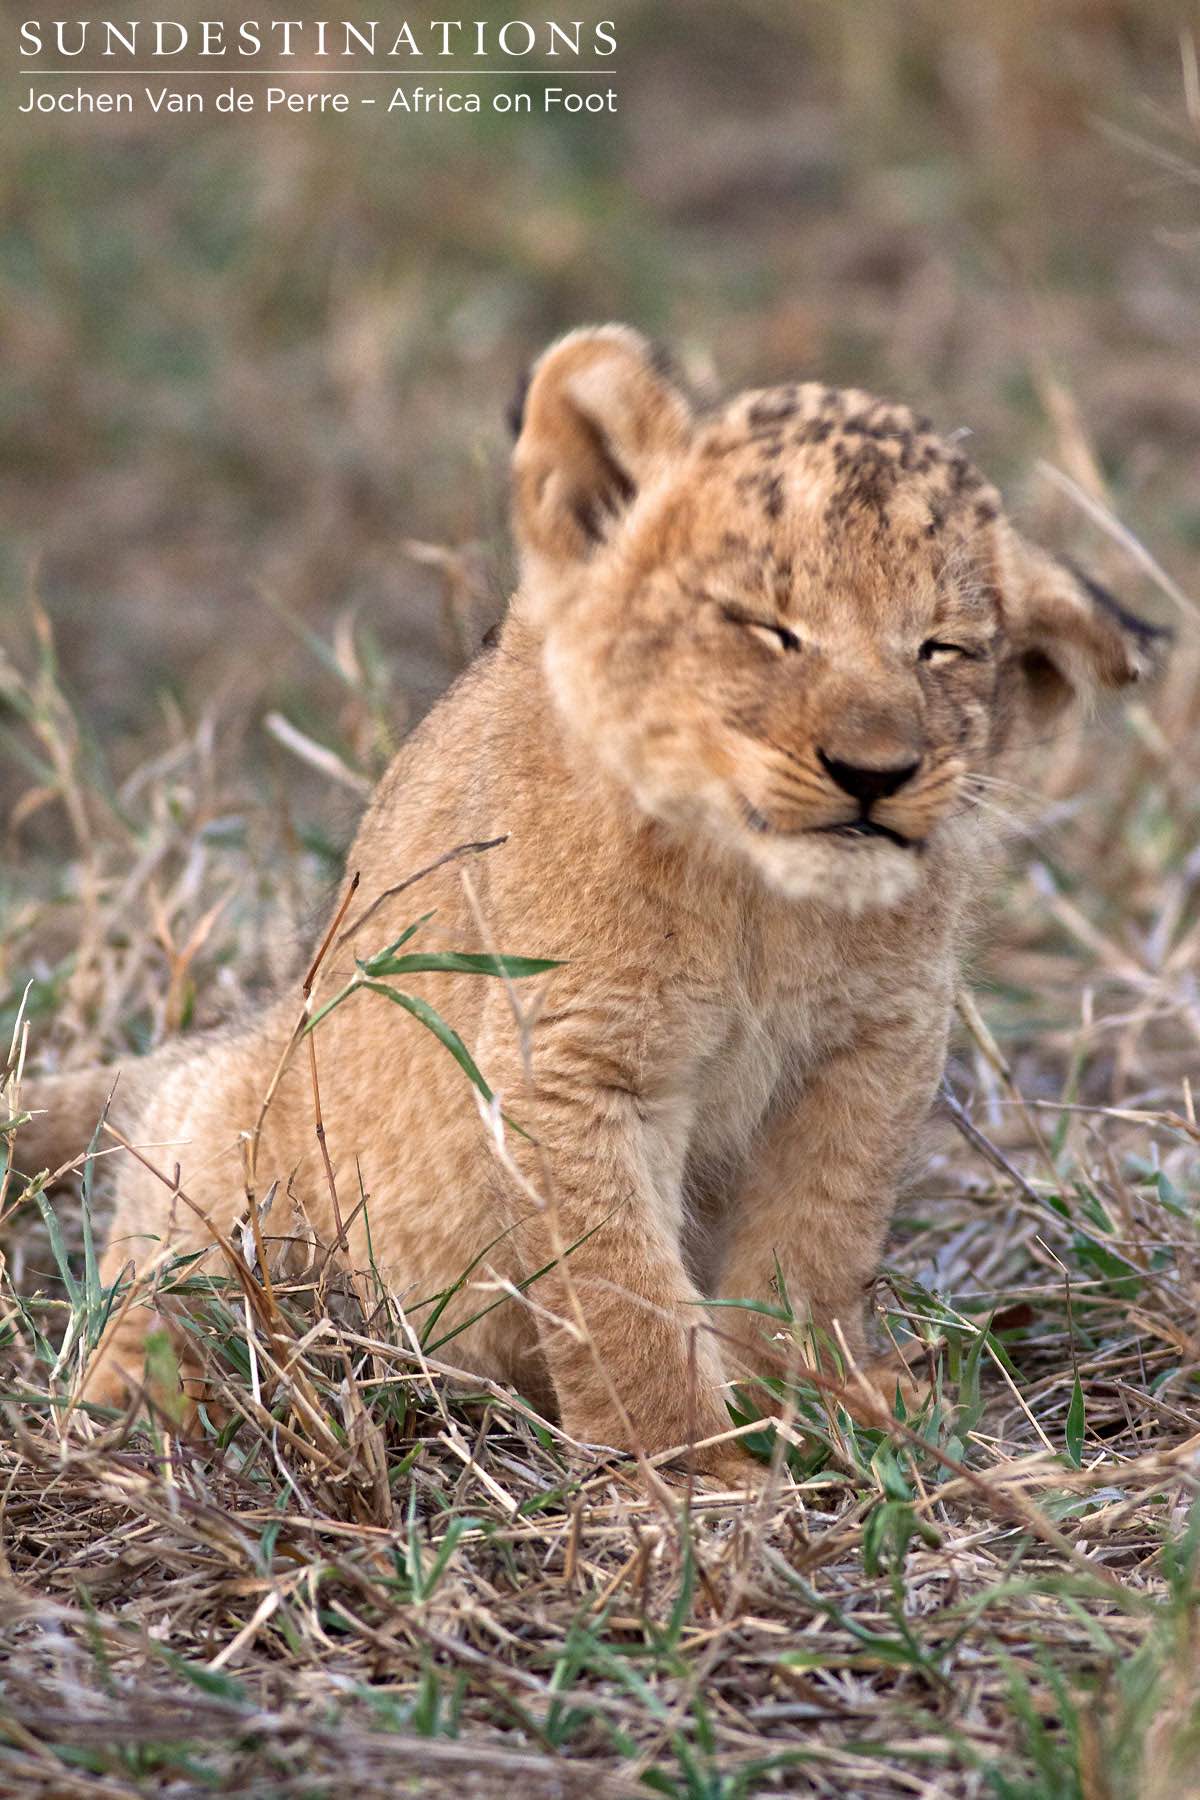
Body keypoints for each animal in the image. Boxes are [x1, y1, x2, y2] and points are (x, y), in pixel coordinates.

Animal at [10, 325, 1163, 1479]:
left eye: (942, 648)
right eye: (766, 627)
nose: (874, 773)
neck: (766, 907)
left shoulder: (874, 1051)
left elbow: (814, 1243)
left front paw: (819, 1402)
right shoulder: (566, 1065)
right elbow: (622, 1298)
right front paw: (693, 1474)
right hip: (237, 1142)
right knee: (162, 1255)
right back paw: (128, 1412)